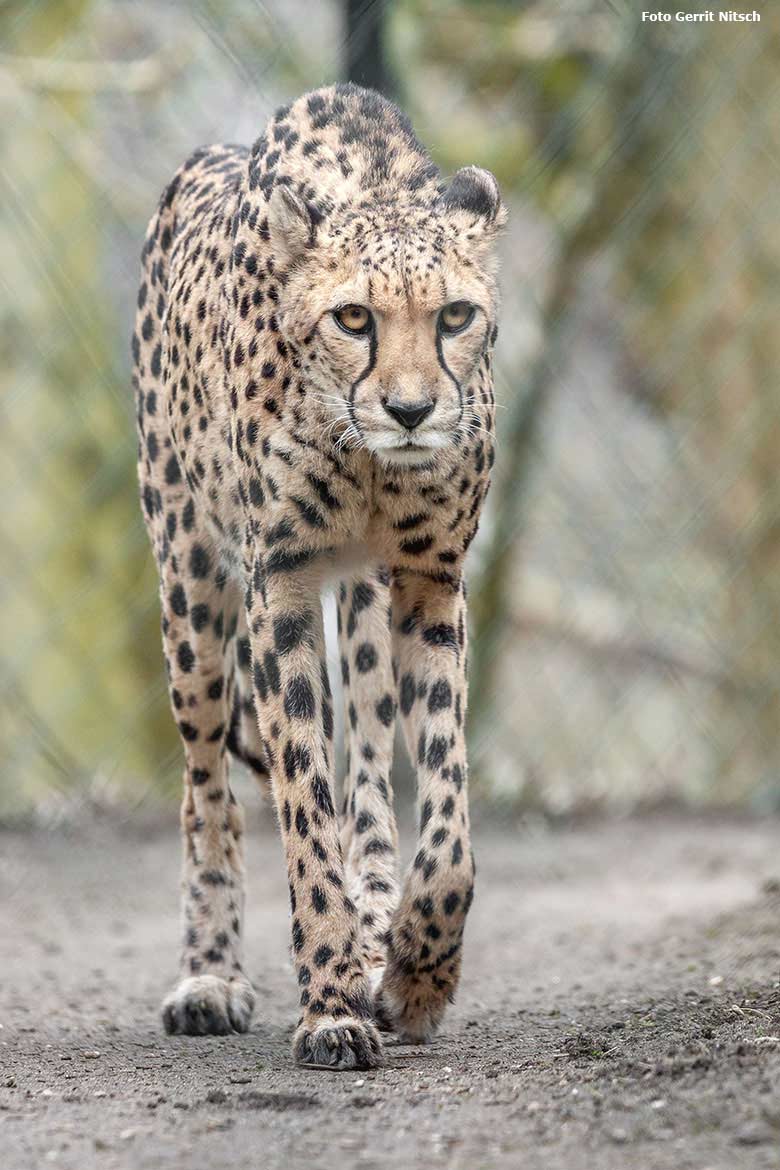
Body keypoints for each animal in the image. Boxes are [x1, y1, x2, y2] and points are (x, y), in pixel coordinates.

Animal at [132, 82, 507, 1071]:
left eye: (456, 317)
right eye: (353, 319)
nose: (411, 411)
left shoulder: (429, 578)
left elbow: (446, 820)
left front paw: (414, 974)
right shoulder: (283, 586)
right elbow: (303, 802)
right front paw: (333, 1004)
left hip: (367, 608)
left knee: (371, 773)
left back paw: (379, 928)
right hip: (191, 588)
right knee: (209, 793)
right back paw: (211, 977)